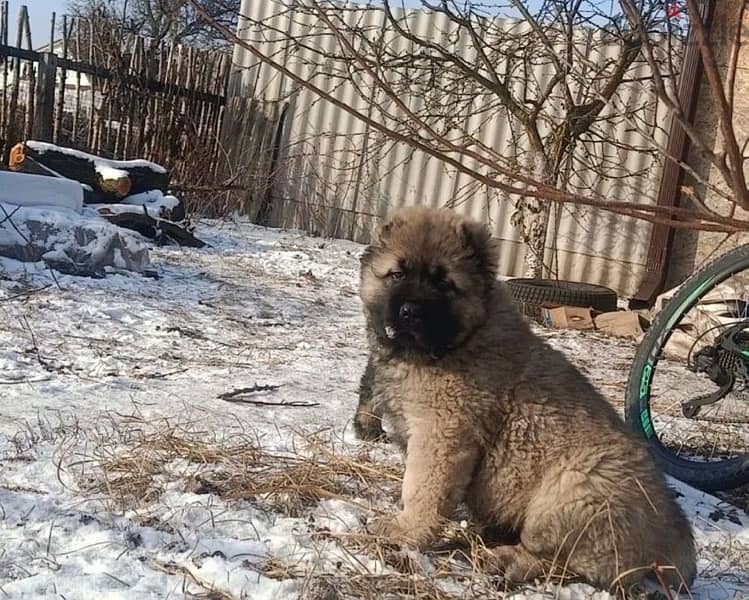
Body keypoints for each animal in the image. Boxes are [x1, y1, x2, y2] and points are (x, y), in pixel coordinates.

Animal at [354, 209, 692, 592]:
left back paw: (509, 561)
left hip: (573, 490)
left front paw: (407, 530)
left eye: (444, 284)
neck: (463, 339)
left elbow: (422, 488)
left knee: (576, 565)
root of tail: (668, 531)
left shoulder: (442, 433)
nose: (411, 311)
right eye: (397, 273)